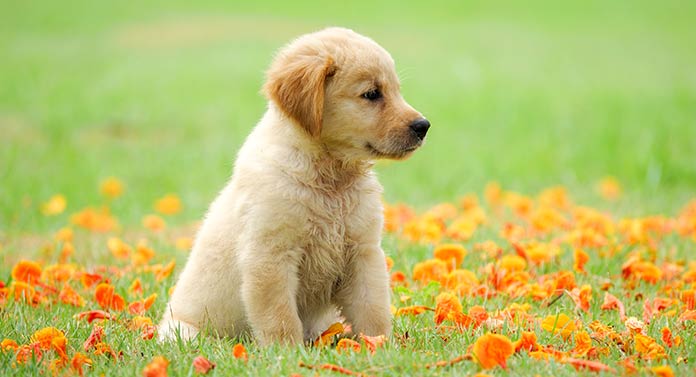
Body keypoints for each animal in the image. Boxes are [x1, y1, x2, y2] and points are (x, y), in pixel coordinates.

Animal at [158, 26, 430, 344]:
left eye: (396, 90)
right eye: (372, 94)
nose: (423, 126)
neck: (330, 178)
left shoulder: (363, 252)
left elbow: (372, 308)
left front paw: (379, 344)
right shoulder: (270, 257)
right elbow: (280, 317)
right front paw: (287, 351)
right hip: (184, 332)